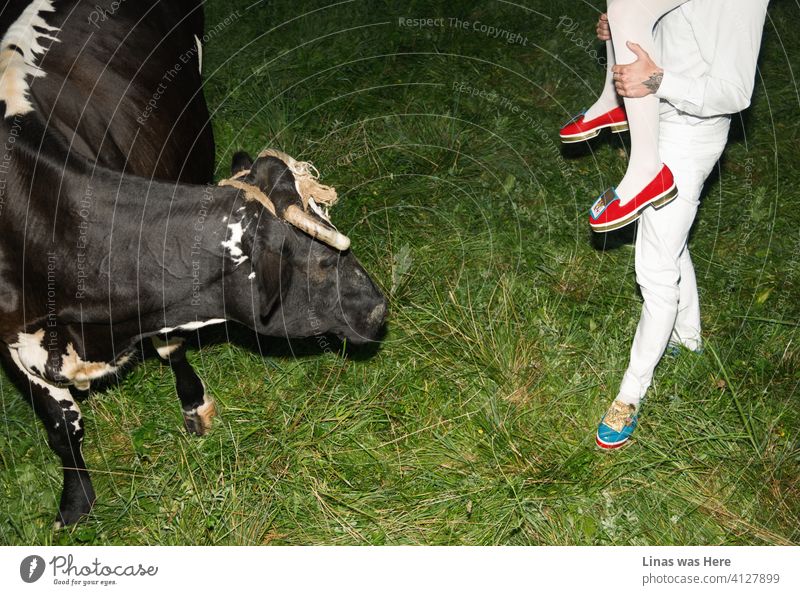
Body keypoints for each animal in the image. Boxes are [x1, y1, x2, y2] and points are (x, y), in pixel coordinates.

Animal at [0, 0, 388, 528]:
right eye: (323, 263)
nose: (378, 307)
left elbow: (172, 346)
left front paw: (194, 406)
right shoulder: (10, 336)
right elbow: (62, 425)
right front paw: (75, 503)